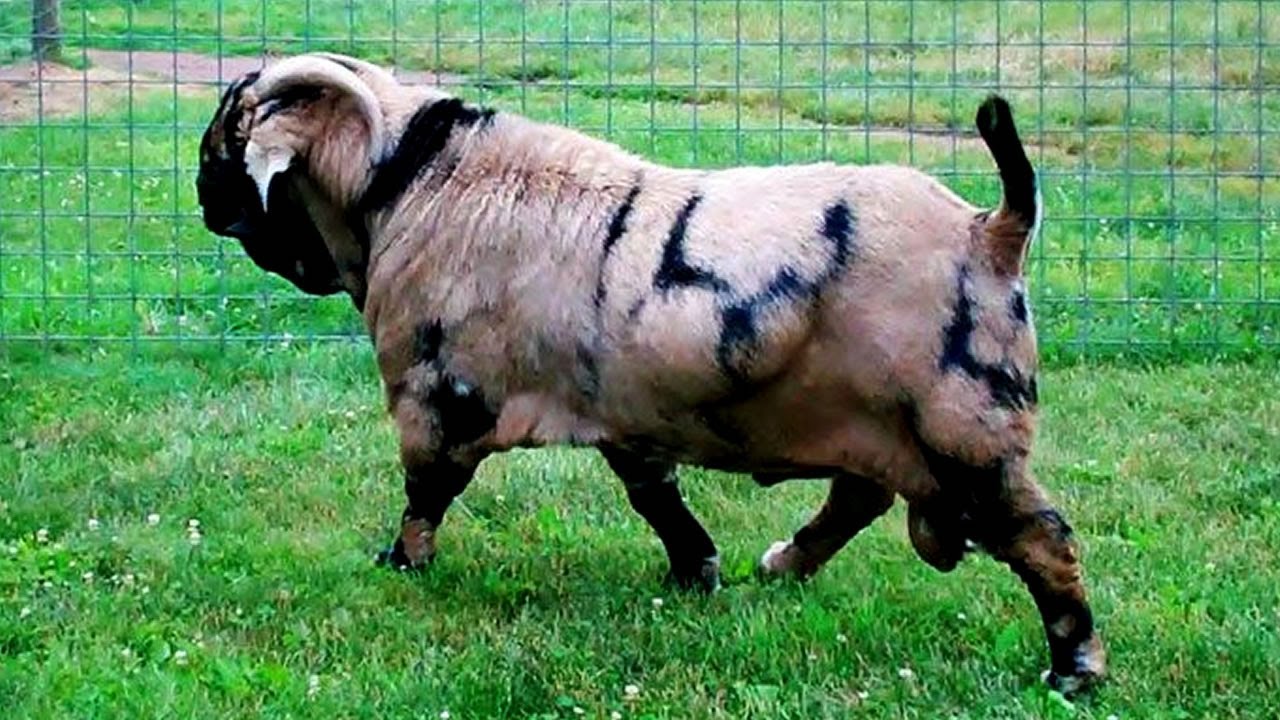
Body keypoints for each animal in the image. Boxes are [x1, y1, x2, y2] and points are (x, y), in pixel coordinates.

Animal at [196, 52, 1106, 694]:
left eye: (229, 131)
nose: (203, 199)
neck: (414, 181)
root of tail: (994, 229)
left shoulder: (435, 393)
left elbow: (427, 491)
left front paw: (400, 565)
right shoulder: (618, 407)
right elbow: (653, 493)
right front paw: (695, 571)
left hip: (964, 426)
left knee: (1041, 537)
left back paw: (1074, 670)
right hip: (886, 422)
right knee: (862, 496)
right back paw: (783, 564)